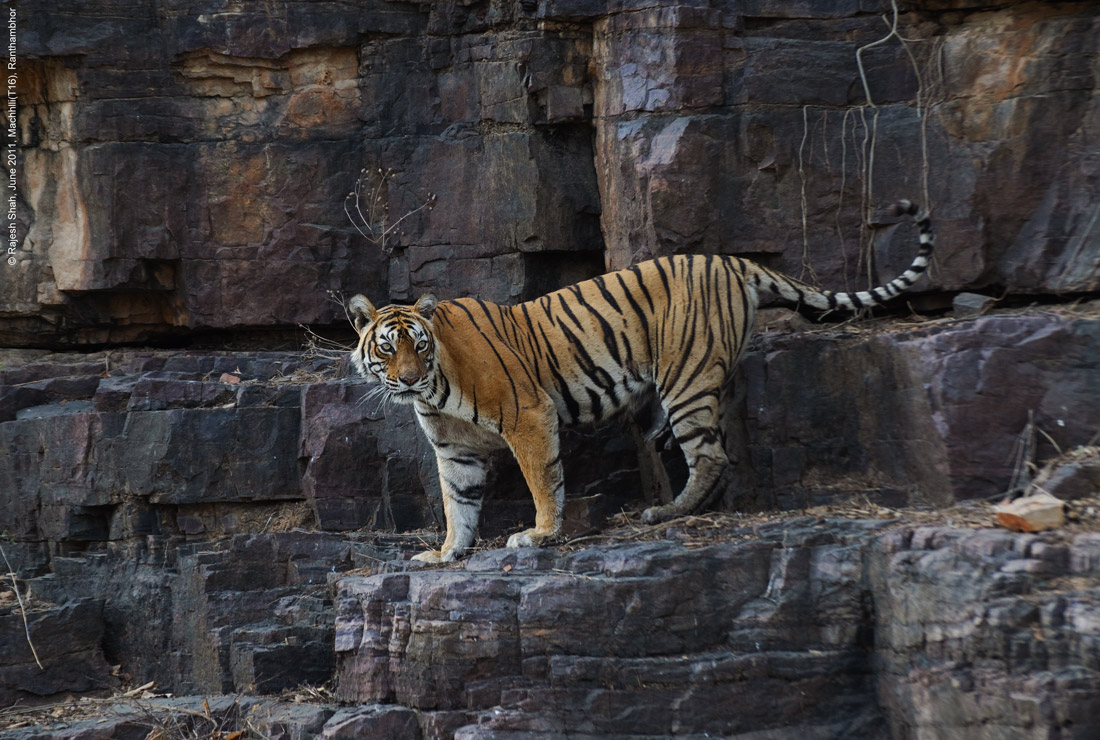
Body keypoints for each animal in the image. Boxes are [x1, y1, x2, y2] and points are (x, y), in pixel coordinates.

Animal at [349, 200, 933, 563]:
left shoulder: (528, 414)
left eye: (419, 346)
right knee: (720, 449)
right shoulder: (455, 450)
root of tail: (732, 262)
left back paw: (666, 512)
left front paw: (539, 534)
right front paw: (447, 552)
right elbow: (459, 503)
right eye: (389, 348)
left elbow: (542, 480)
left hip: (686, 380)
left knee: (712, 456)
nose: (407, 379)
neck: (435, 390)